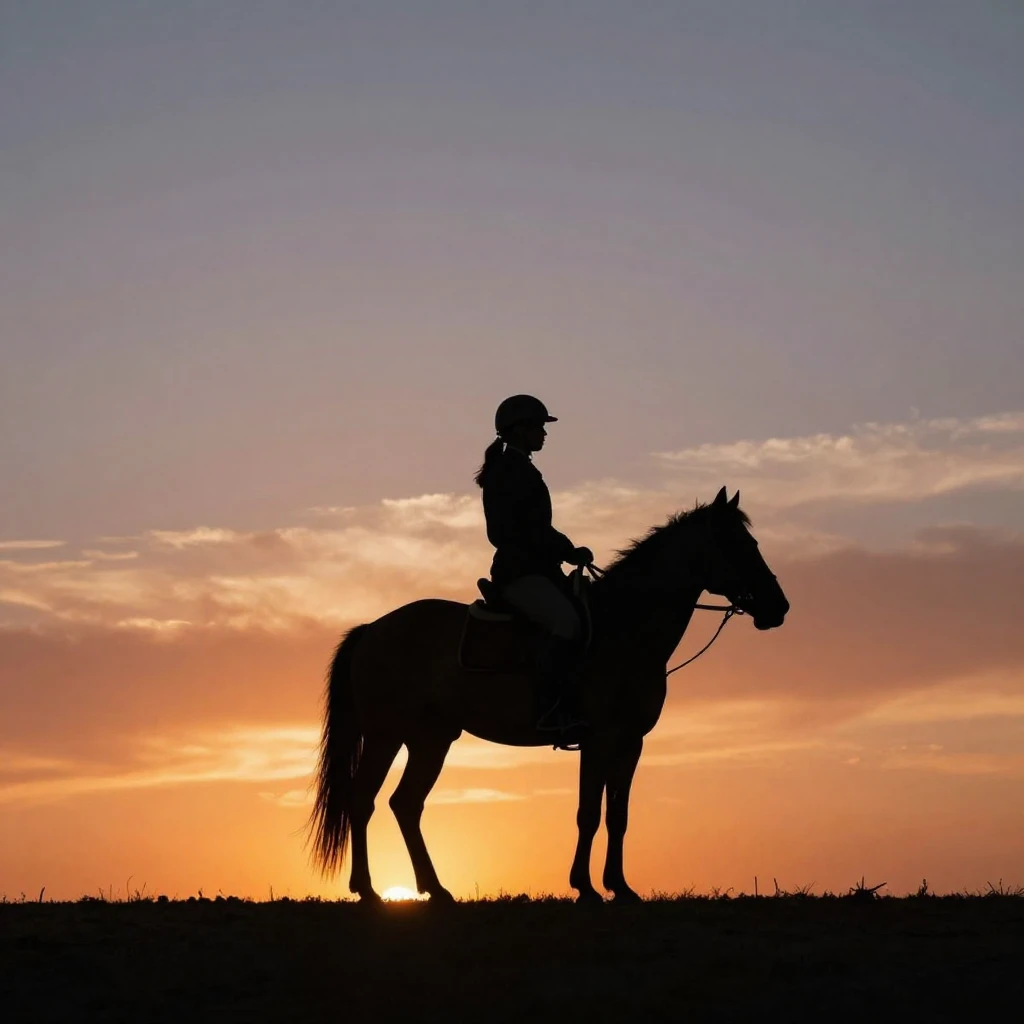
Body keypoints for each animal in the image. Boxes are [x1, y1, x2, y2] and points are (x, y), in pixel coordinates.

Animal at [307, 486, 790, 904]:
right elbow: (588, 814)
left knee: (404, 804)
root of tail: (373, 629)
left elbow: (618, 816)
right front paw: (586, 888)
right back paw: (369, 890)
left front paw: (621, 888)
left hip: (430, 739)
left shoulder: (630, 742)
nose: (779, 607)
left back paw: (436, 890)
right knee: (363, 800)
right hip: (386, 735)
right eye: (738, 544)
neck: (626, 628)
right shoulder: (597, 739)